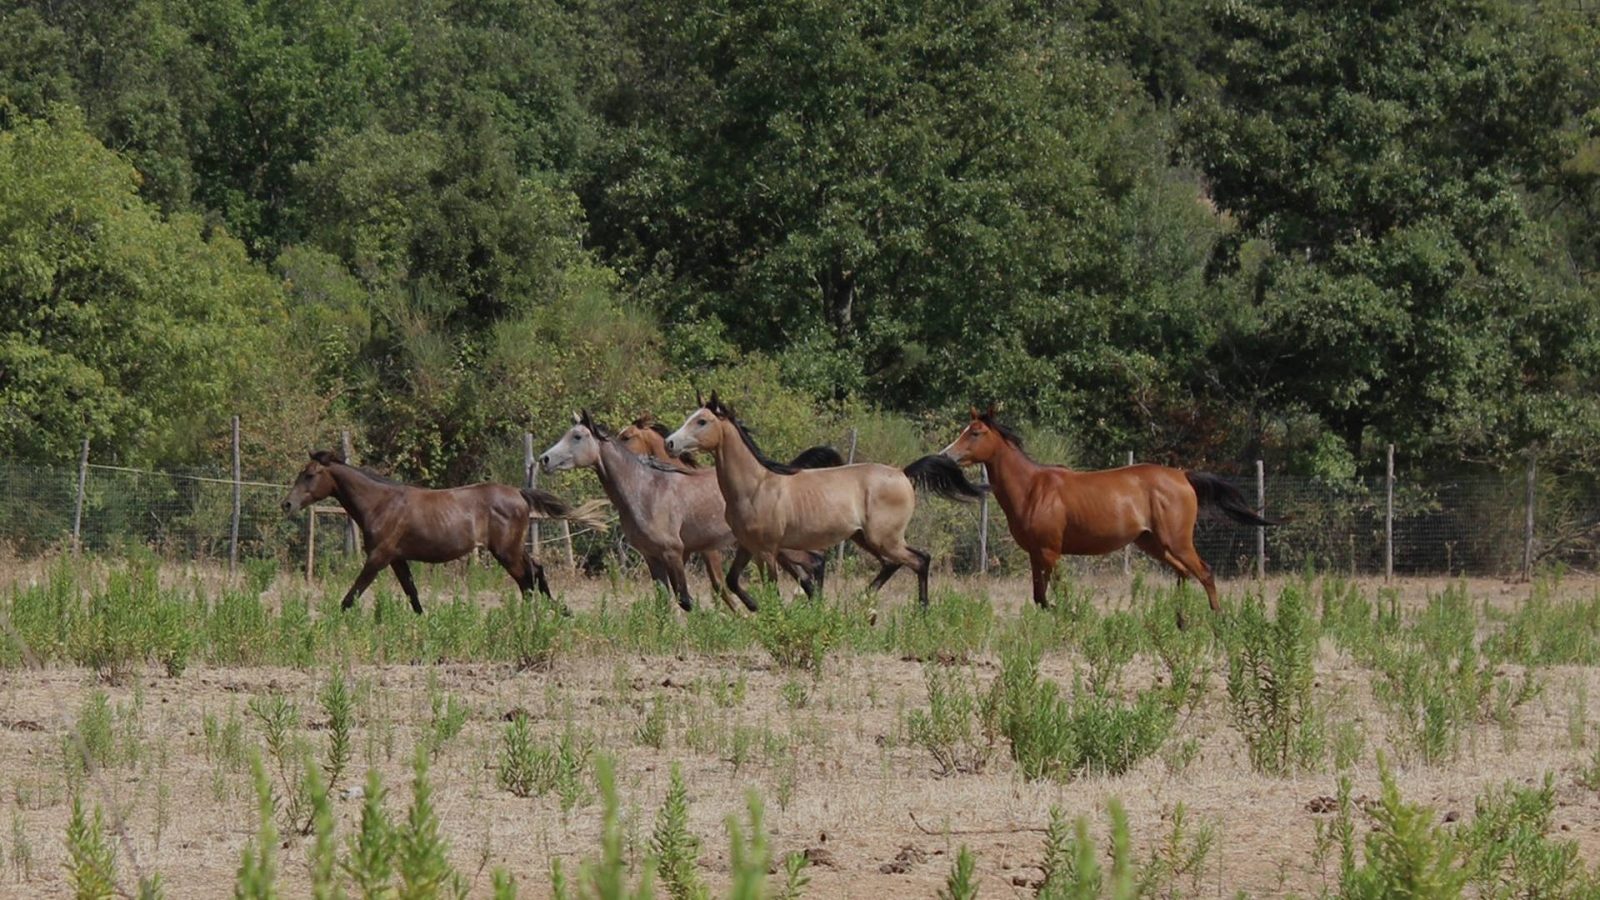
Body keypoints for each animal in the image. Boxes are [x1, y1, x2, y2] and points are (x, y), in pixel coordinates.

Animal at [281, 448, 604, 608]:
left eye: (309, 475)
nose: (287, 504)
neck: (381, 504)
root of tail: (519, 493)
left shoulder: (378, 558)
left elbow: (351, 597)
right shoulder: (397, 559)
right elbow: (413, 595)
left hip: (506, 551)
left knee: (528, 578)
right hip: (512, 549)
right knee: (534, 574)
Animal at [540, 408, 832, 608]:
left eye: (577, 436)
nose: (544, 459)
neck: (646, 490)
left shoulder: (676, 552)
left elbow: (687, 600)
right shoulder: (653, 557)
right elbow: (665, 602)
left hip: (781, 546)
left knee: (815, 564)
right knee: (806, 576)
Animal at [662, 389, 985, 605]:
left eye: (702, 421)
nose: (670, 443)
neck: (756, 486)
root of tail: (903, 473)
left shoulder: (767, 550)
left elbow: (773, 588)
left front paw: (772, 615)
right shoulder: (748, 545)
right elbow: (732, 580)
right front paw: (754, 607)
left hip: (885, 538)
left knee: (920, 560)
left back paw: (921, 610)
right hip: (865, 538)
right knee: (896, 563)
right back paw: (862, 603)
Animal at [934, 408, 1273, 611]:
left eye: (975, 432)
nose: (945, 456)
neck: (1033, 488)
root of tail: (1183, 476)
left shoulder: (1050, 552)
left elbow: (1057, 592)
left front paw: (1070, 616)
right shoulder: (1035, 553)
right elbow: (1039, 597)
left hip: (1177, 541)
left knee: (1204, 573)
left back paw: (1215, 621)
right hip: (1153, 543)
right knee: (1183, 573)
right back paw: (1180, 622)